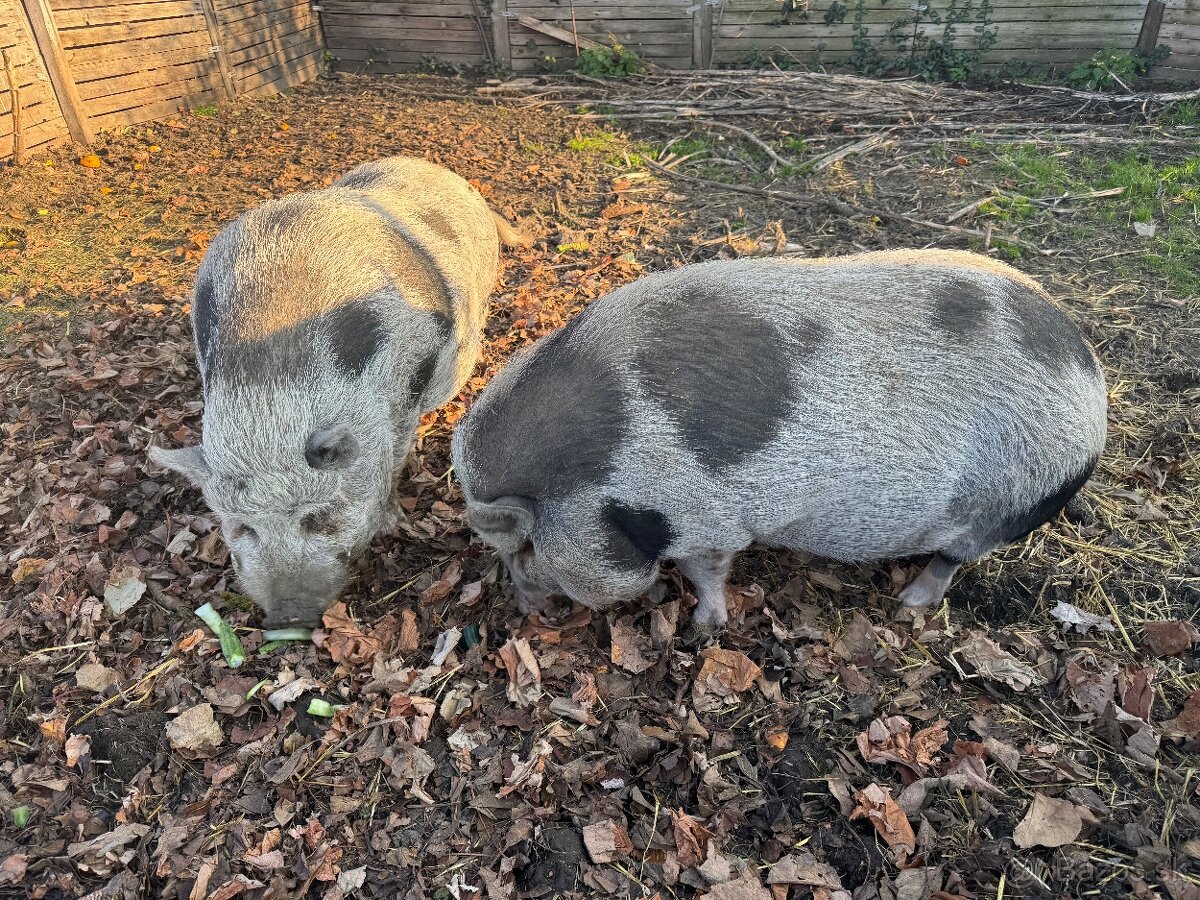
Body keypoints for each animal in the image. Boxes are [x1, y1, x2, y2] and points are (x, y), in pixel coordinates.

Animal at [148, 157, 520, 628]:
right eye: (243, 527)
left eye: (318, 518)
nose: (287, 616)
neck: (272, 397)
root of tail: (445, 173)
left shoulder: (404, 397)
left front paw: (392, 520)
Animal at [451, 247, 1104, 628]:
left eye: (524, 551)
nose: (525, 610)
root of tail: (1091, 376)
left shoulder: (708, 520)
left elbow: (708, 572)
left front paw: (705, 627)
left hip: (1012, 501)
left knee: (952, 559)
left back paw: (909, 604)